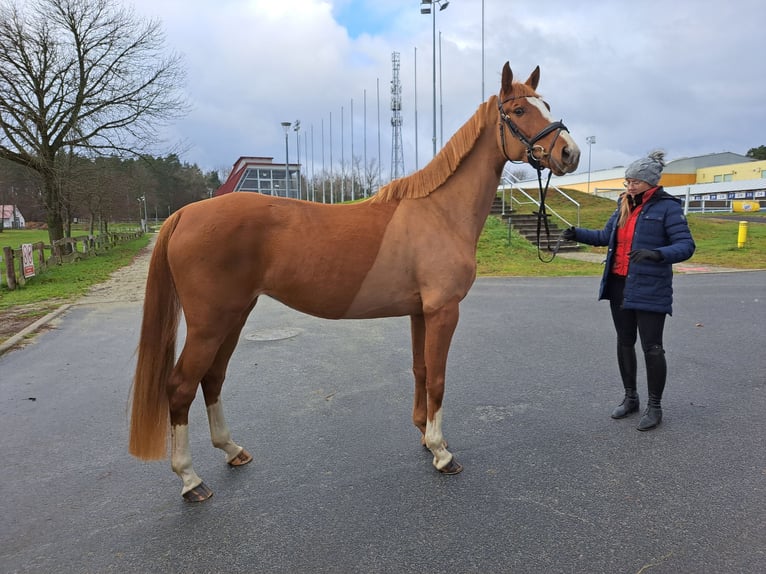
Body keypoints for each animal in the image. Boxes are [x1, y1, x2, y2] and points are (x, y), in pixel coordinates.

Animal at [129, 62, 580, 501]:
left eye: (546, 104)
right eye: (519, 110)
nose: (570, 153)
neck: (440, 212)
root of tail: (186, 213)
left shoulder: (421, 312)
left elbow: (420, 369)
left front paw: (424, 436)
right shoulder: (443, 311)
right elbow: (437, 377)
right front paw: (441, 452)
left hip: (234, 316)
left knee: (212, 379)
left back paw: (232, 450)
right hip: (210, 323)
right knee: (181, 386)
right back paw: (191, 480)